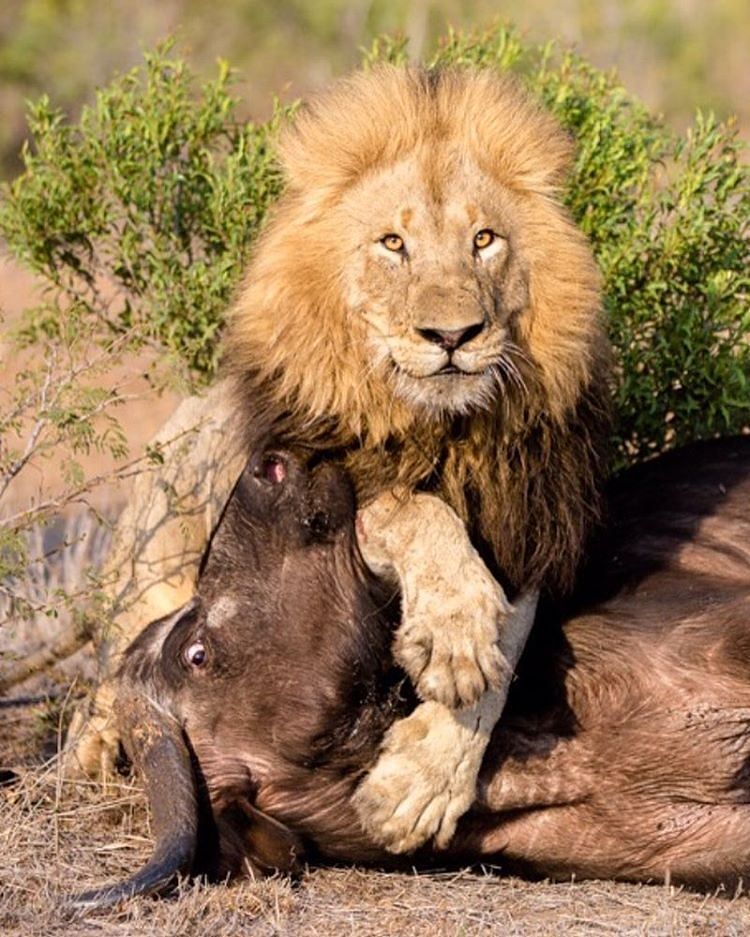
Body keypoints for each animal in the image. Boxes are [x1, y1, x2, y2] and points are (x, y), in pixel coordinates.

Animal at [66, 64, 612, 856]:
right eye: (393, 243)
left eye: (484, 240)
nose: (453, 335)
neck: (439, 431)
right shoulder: (325, 483)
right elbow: (412, 509)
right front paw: (451, 633)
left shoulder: (522, 530)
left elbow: (506, 651)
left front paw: (420, 779)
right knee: (115, 668)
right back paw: (97, 744)